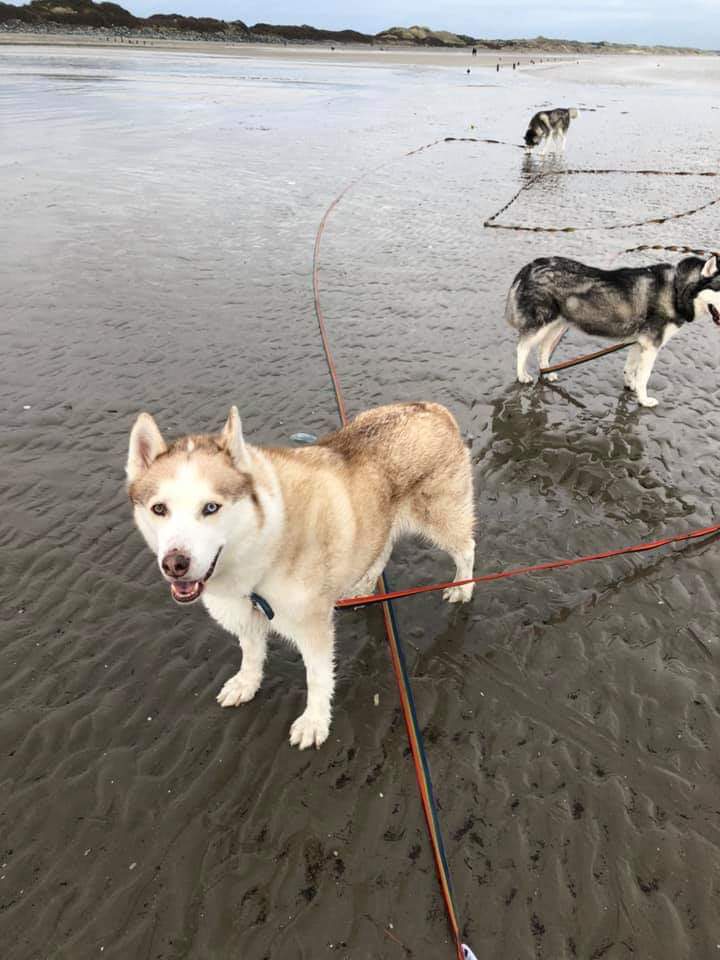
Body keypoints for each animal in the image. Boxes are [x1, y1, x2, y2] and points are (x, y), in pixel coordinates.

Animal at [126, 402, 476, 749]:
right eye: (159, 509)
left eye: (211, 507)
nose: (175, 564)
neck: (264, 544)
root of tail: (432, 408)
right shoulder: (245, 613)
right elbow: (250, 655)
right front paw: (246, 683)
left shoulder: (312, 626)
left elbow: (317, 677)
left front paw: (314, 722)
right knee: (381, 550)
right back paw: (363, 585)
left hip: (439, 518)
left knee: (466, 547)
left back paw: (463, 587)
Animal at [506, 254, 720, 407]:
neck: (676, 290)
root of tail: (531, 265)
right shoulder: (651, 345)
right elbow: (644, 377)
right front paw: (644, 400)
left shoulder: (638, 342)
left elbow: (630, 368)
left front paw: (630, 386)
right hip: (542, 324)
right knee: (522, 348)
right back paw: (522, 376)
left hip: (557, 325)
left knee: (543, 349)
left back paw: (547, 371)